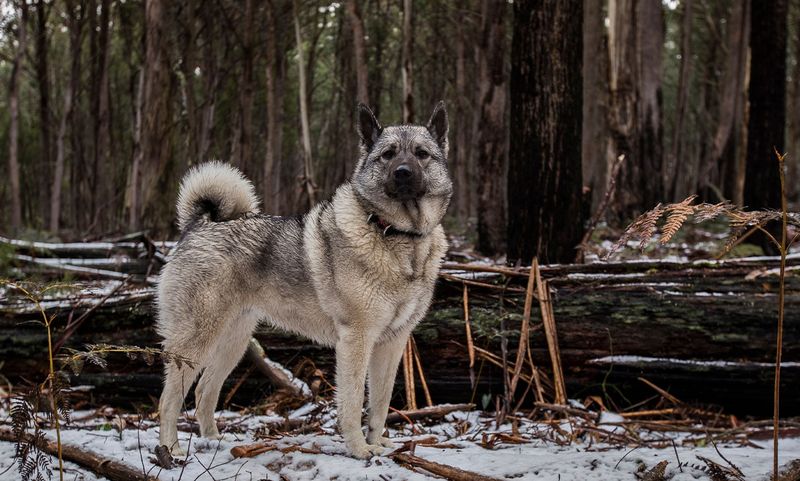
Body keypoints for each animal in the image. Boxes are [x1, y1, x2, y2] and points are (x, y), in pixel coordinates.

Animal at [158, 102, 450, 458]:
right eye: (388, 155)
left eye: (422, 154)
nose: (403, 172)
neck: (397, 236)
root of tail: (199, 225)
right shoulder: (356, 340)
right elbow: (353, 402)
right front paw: (359, 449)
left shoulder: (392, 343)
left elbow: (380, 403)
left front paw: (378, 442)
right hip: (196, 340)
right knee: (169, 400)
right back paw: (170, 450)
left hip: (233, 342)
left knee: (203, 392)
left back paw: (213, 441)